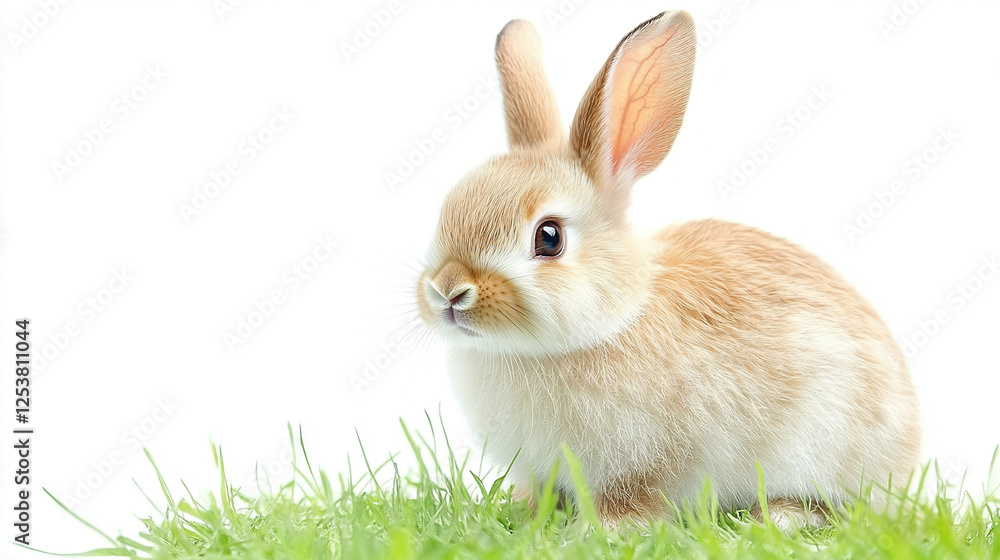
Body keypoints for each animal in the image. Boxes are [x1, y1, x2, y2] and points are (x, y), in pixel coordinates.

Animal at [414, 10, 921, 529]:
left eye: (549, 238)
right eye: (447, 211)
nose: (449, 290)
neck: (616, 317)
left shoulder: (648, 459)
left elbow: (635, 496)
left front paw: (603, 529)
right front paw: (523, 511)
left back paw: (775, 517)